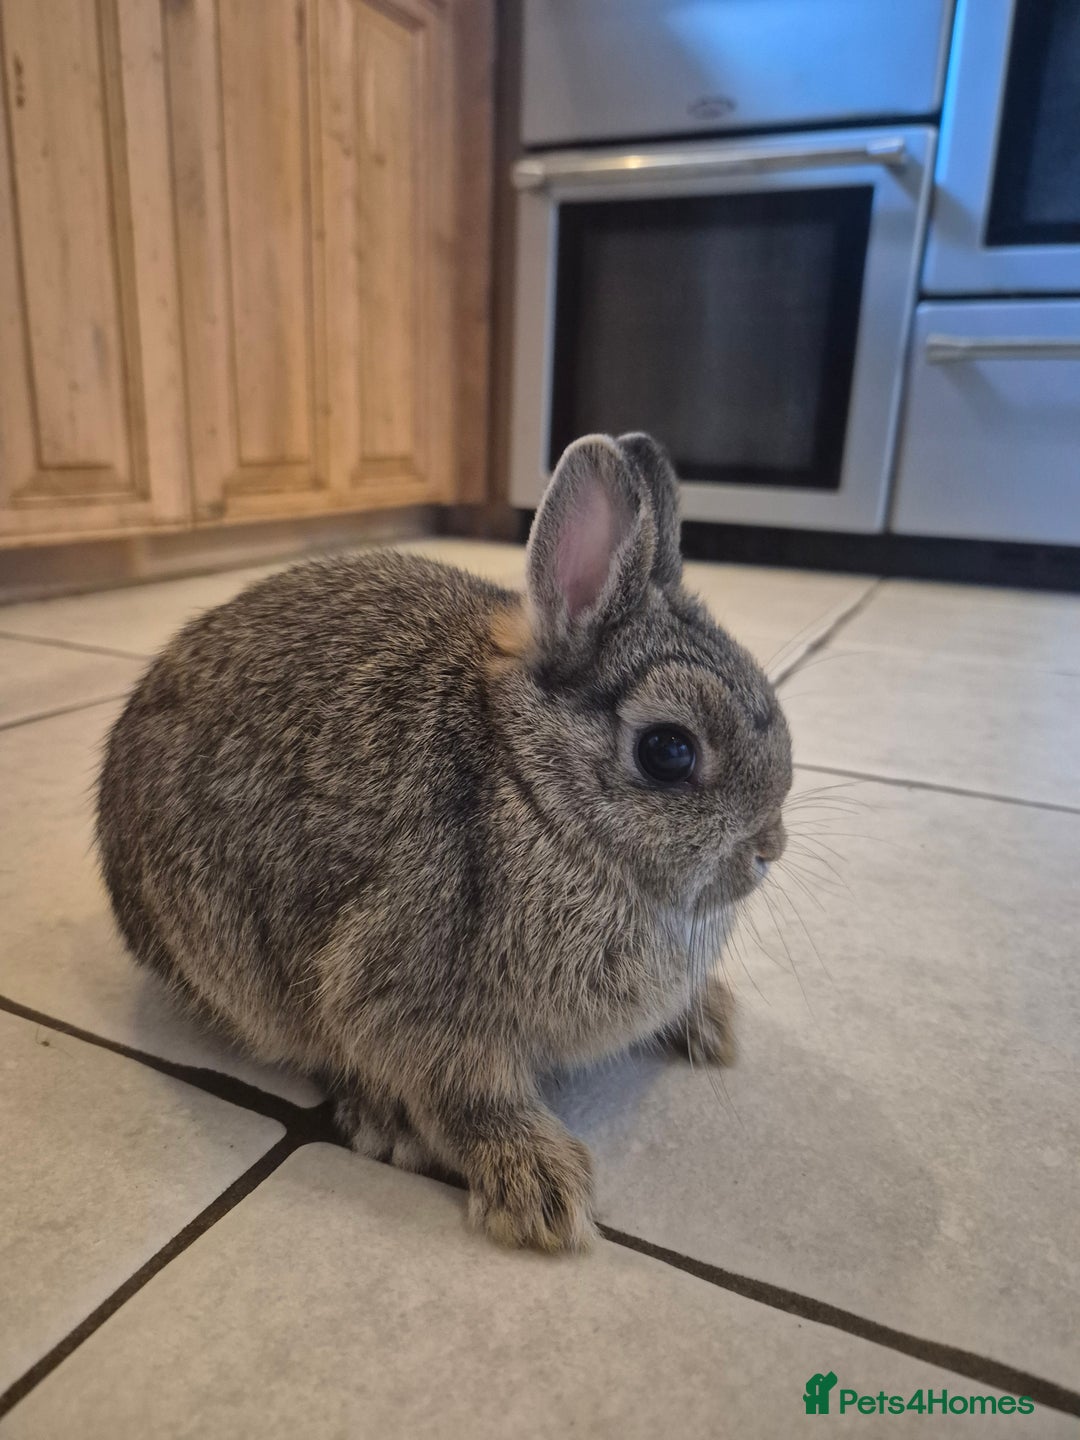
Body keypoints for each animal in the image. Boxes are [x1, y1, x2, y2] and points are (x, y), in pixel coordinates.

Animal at [96, 433, 792, 1252]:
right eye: (669, 751)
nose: (767, 850)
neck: (532, 787)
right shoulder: (412, 991)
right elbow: (466, 1095)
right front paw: (541, 1193)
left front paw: (709, 1023)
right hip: (231, 956)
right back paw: (385, 1123)